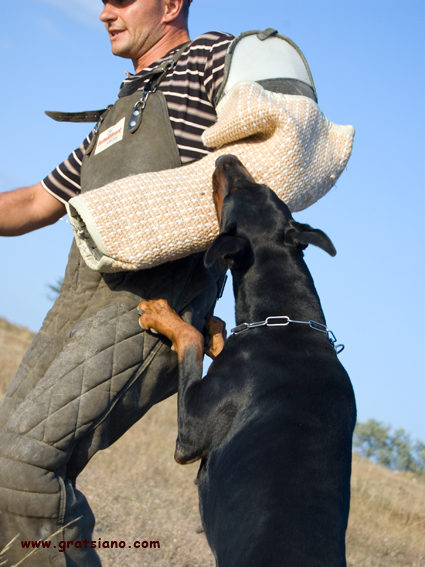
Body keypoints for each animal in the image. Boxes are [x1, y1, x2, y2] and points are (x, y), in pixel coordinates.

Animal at [138, 155, 357, 567]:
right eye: (266, 188)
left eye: (234, 192)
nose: (227, 158)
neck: (286, 321)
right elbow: (216, 334)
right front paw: (215, 328)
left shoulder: (191, 435)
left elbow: (190, 338)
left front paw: (161, 314)